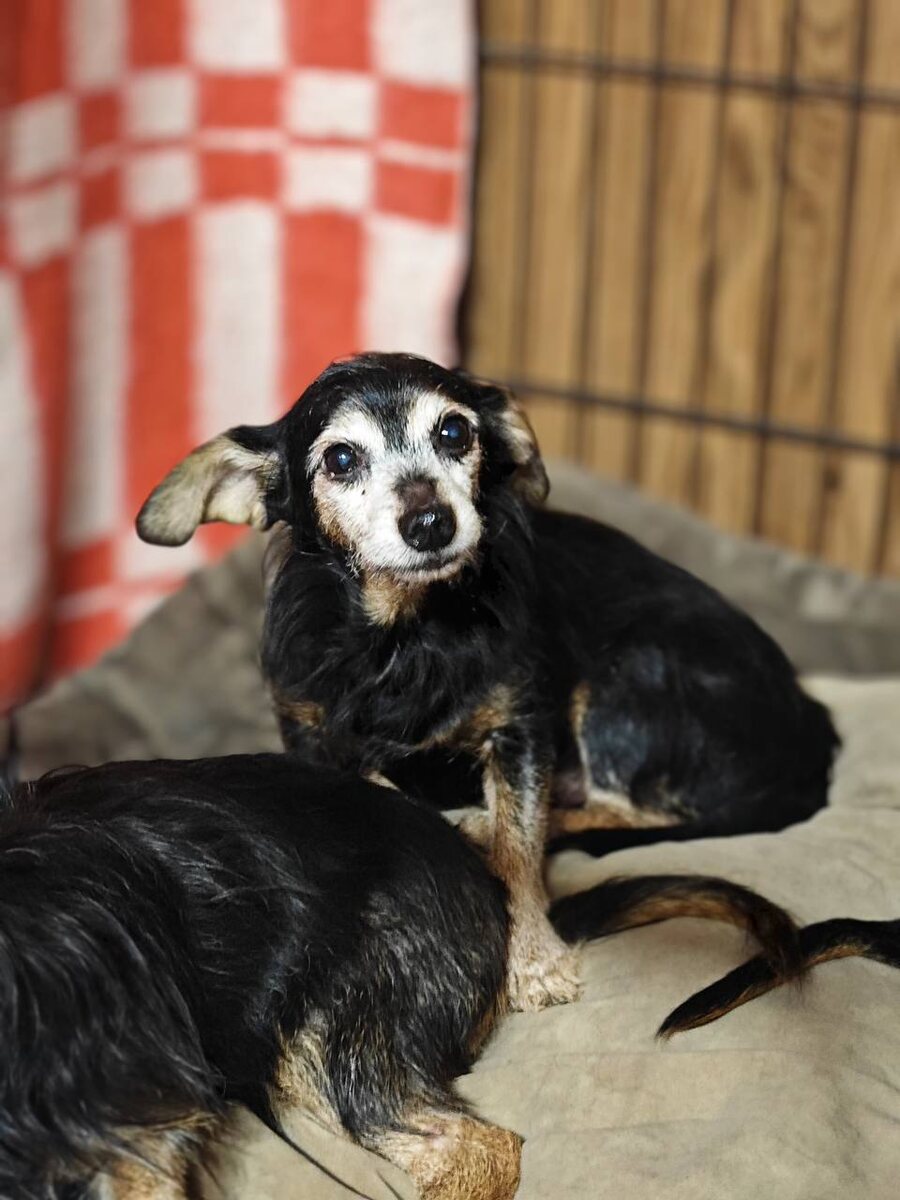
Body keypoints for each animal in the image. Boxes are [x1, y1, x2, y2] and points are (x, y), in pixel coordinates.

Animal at [136, 352, 839, 1011]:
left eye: (454, 432)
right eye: (339, 458)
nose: (431, 523)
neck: (408, 635)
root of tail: (813, 736)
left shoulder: (519, 730)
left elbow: (519, 847)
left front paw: (532, 959)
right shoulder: (310, 736)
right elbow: (383, 789)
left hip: (630, 676)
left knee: (622, 808)